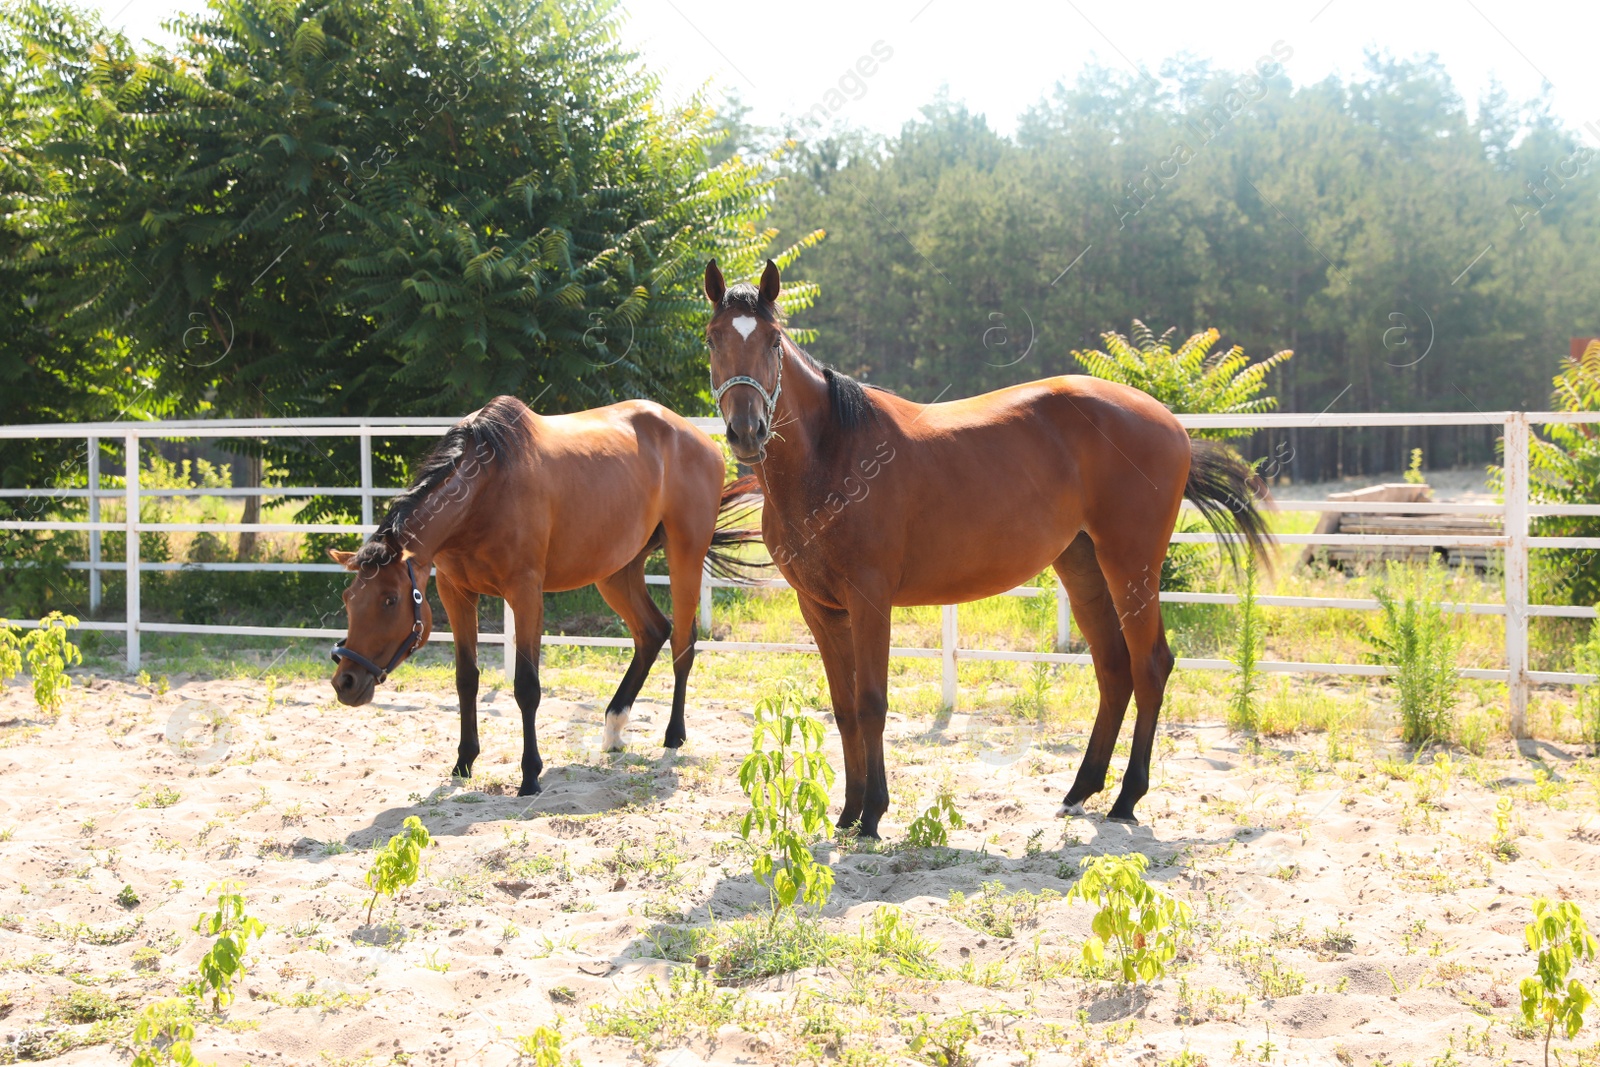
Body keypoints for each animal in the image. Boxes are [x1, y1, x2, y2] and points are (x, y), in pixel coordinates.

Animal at [328, 391, 758, 793]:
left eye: (390, 600)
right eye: (348, 600)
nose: (344, 682)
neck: (486, 488)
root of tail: (701, 441)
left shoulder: (525, 593)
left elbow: (526, 686)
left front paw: (530, 775)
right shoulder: (456, 593)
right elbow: (466, 679)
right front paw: (464, 762)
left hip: (684, 555)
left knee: (683, 641)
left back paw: (673, 735)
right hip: (617, 571)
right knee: (652, 633)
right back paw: (614, 727)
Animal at [707, 259, 1267, 831]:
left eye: (774, 341)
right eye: (713, 338)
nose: (747, 431)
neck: (834, 453)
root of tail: (1171, 422)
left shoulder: (870, 601)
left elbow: (870, 704)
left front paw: (873, 814)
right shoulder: (818, 607)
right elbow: (842, 709)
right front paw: (847, 813)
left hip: (1132, 566)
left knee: (1150, 665)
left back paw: (1126, 798)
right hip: (1083, 567)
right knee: (1113, 669)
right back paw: (1080, 791)